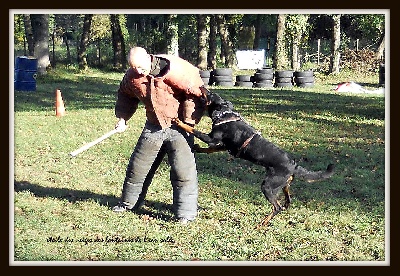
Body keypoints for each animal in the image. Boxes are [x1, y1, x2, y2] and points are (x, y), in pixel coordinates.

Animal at [173, 89, 332, 227]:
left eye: (210, 94)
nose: (203, 87)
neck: (224, 115)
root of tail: (293, 164)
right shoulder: (223, 145)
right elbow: (209, 149)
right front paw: (197, 148)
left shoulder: (212, 139)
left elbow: (194, 130)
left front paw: (179, 122)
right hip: (282, 184)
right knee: (287, 198)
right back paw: (283, 206)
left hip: (267, 186)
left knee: (277, 207)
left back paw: (262, 223)